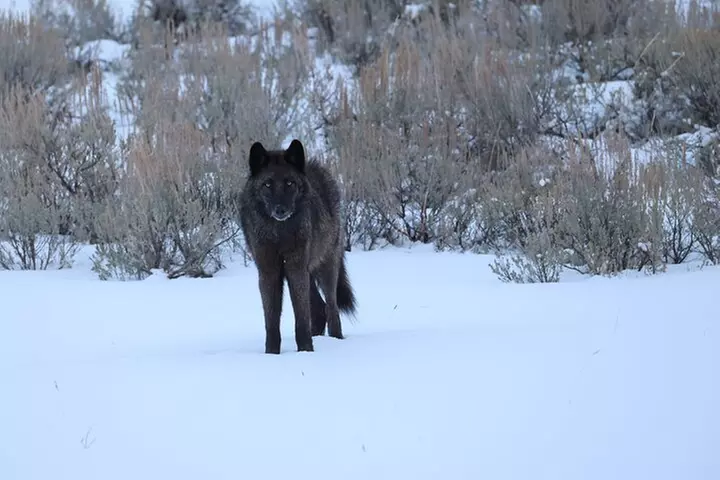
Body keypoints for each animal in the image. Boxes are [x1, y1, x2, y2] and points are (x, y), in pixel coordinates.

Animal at [239, 138, 357, 354]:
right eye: (267, 184)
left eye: (289, 183)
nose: (280, 210)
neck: (279, 233)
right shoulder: (268, 271)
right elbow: (271, 321)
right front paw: (271, 354)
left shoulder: (295, 268)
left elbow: (301, 318)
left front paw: (305, 352)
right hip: (307, 273)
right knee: (319, 310)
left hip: (324, 269)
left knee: (331, 308)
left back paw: (336, 340)